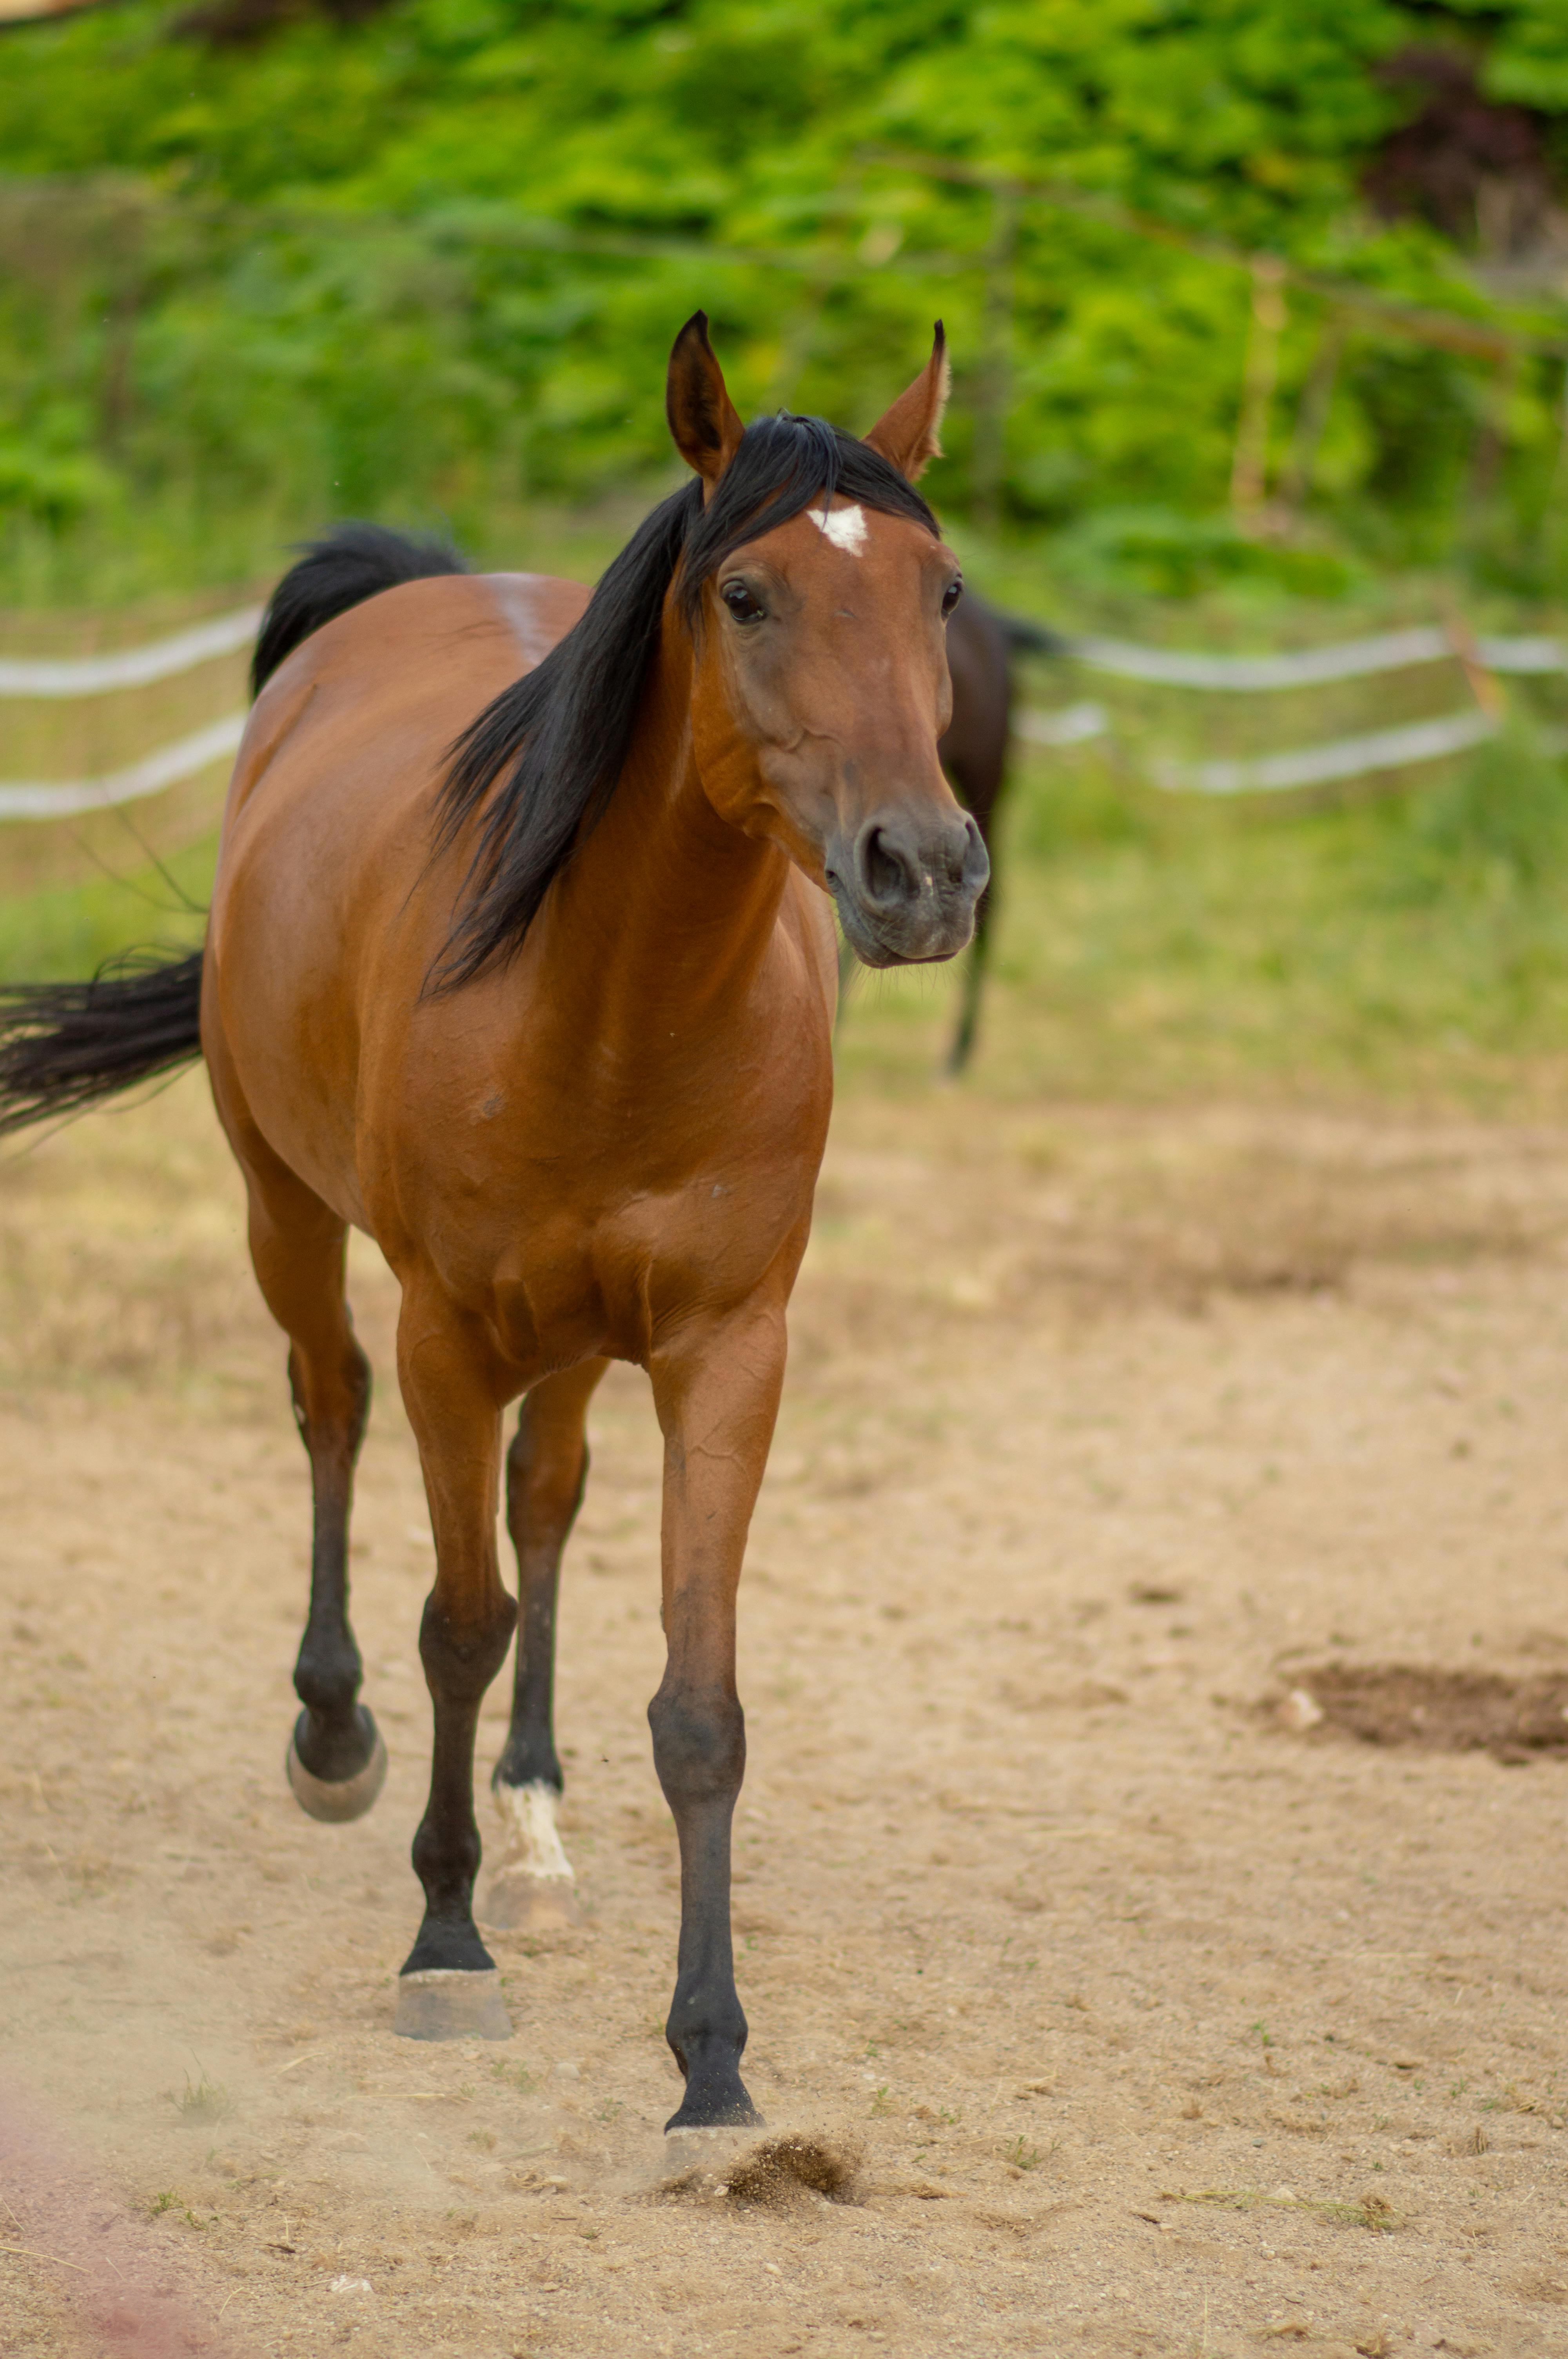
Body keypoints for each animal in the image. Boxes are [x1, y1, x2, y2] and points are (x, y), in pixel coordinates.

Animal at [0, 315, 988, 2131]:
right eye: (746, 595)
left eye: (939, 590)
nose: (924, 869)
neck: (609, 1001)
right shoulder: (446, 1336)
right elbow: (455, 1623)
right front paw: (442, 1945)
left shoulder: (727, 1352)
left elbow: (696, 1707)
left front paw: (712, 2067)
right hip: (285, 1212)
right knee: (328, 1411)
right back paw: (335, 1738)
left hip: (581, 1333)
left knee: (545, 1498)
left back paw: (532, 1823)